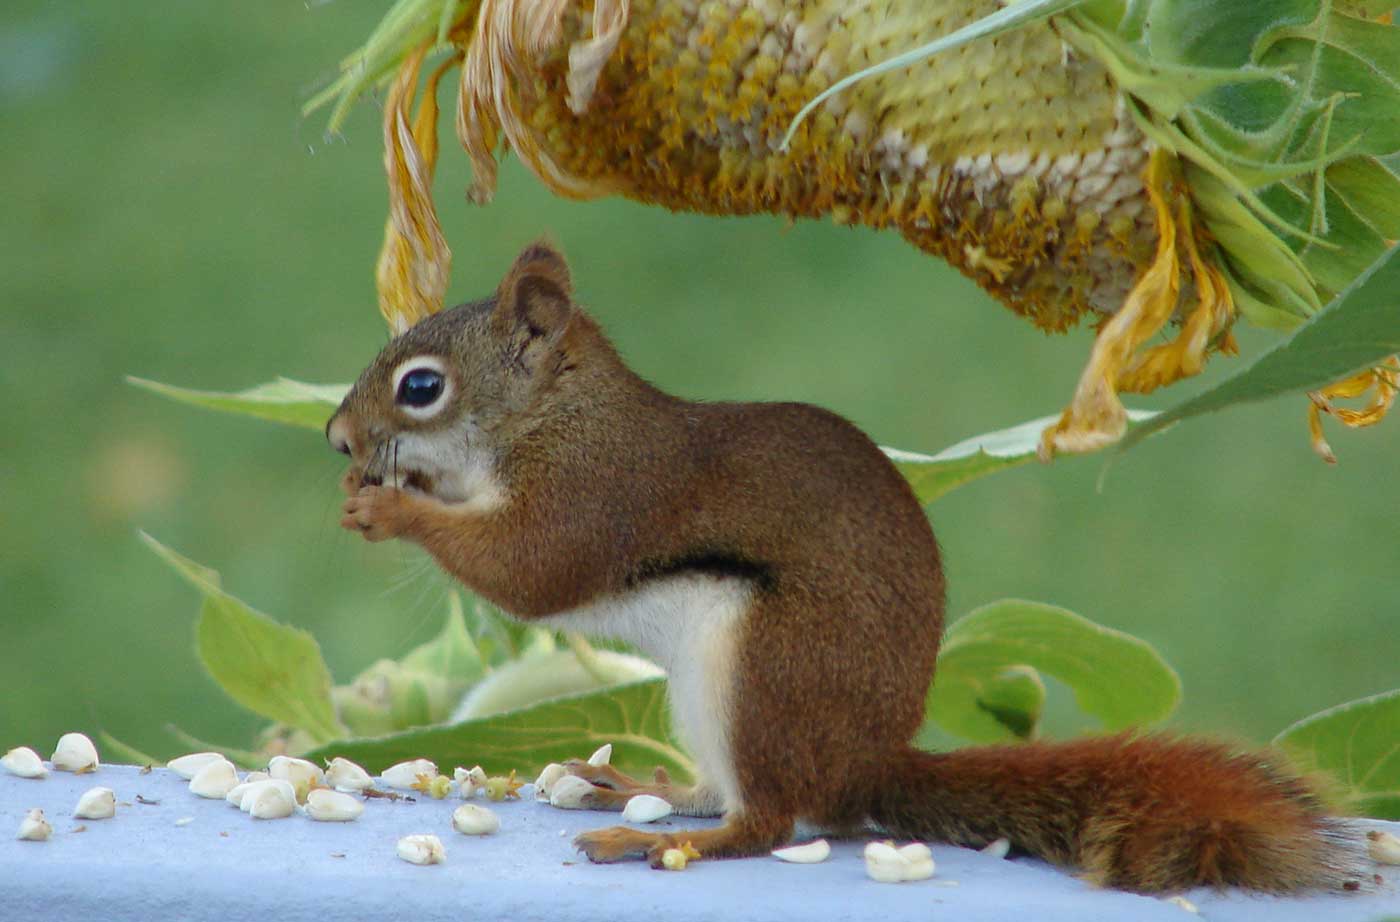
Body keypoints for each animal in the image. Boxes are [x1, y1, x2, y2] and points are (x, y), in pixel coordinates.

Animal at [327, 243, 1355, 895]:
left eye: (422, 387)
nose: (337, 437)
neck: (555, 416)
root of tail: (868, 767)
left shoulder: (598, 494)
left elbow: (527, 570)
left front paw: (391, 508)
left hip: (764, 671)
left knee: (770, 822)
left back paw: (656, 842)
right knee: (734, 797)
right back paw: (639, 794)